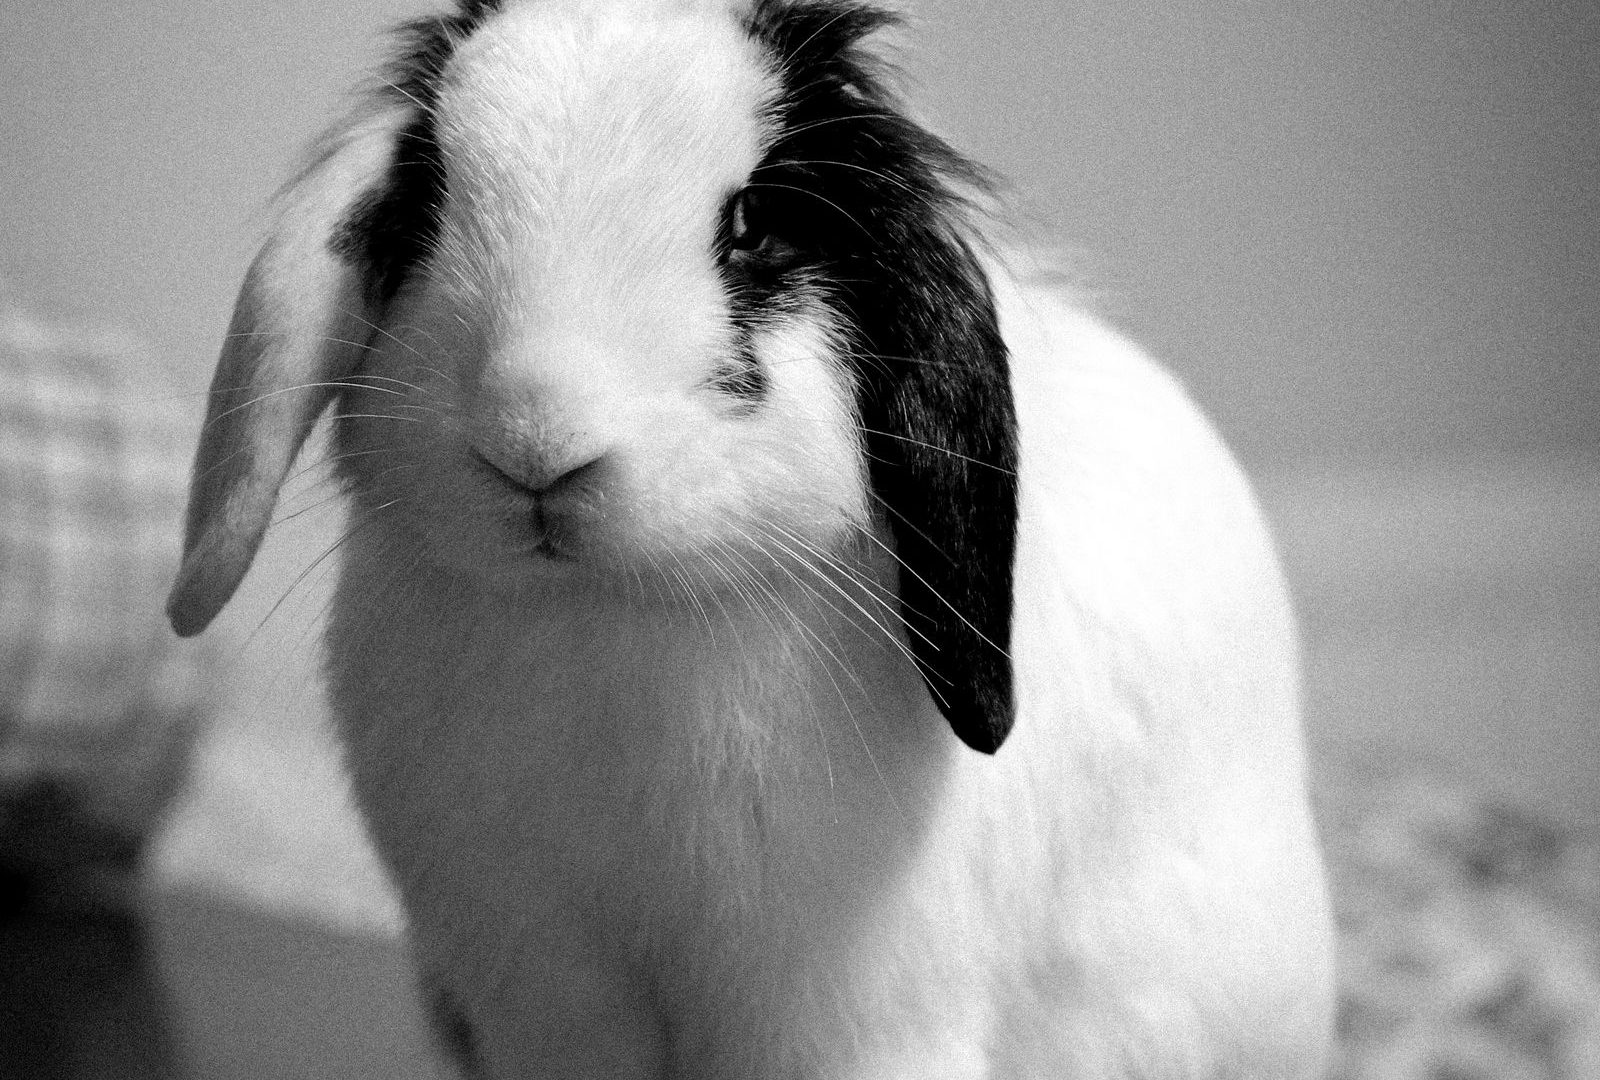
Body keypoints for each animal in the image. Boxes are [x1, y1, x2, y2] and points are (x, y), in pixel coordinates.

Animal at [167, 0, 1334, 1076]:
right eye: (426, 202)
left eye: (755, 225)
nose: (535, 439)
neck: (609, 613)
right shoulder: (543, 995)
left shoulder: (841, 1015)